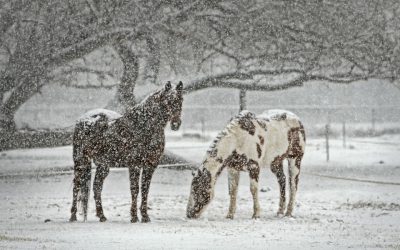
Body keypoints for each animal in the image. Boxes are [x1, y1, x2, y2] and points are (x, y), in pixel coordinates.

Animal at [69, 81, 184, 223]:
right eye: (167, 101)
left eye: (181, 100)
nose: (176, 124)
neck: (144, 126)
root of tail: (83, 119)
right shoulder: (134, 165)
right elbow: (135, 189)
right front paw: (134, 217)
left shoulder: (150, 165)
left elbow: (145, 189)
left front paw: (145, 216)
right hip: (80, 161)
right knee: (77, 185)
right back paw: (73, 216)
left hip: (103, 165)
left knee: (97, 187)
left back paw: (102, 216)